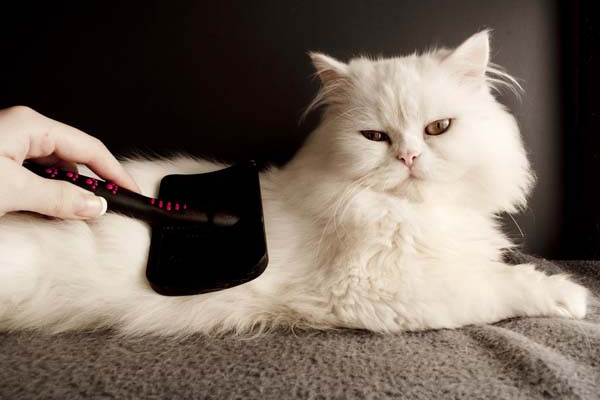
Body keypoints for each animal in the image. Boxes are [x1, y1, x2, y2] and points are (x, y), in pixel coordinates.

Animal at [0, 31, 584, 336]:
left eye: (438, 129)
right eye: (376, 137)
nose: (409, 157)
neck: (408, 213)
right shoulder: (383, 291)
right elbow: (498, 285)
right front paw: (572, 297)